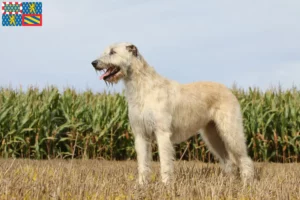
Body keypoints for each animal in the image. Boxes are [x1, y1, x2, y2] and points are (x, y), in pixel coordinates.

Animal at [91, 42, 253, 184]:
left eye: (112, 52)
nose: (93, 62)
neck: (142, 86)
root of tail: (229, 90)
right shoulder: (140, 134)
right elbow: (143, 162)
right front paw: (141, 184)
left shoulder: (162, 133)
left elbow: (165, 161)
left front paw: (165, 184)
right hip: (212, 134)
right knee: (229, 161)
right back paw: (229, 183)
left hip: (230, 131)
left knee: (244, 158)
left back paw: (247, 183)